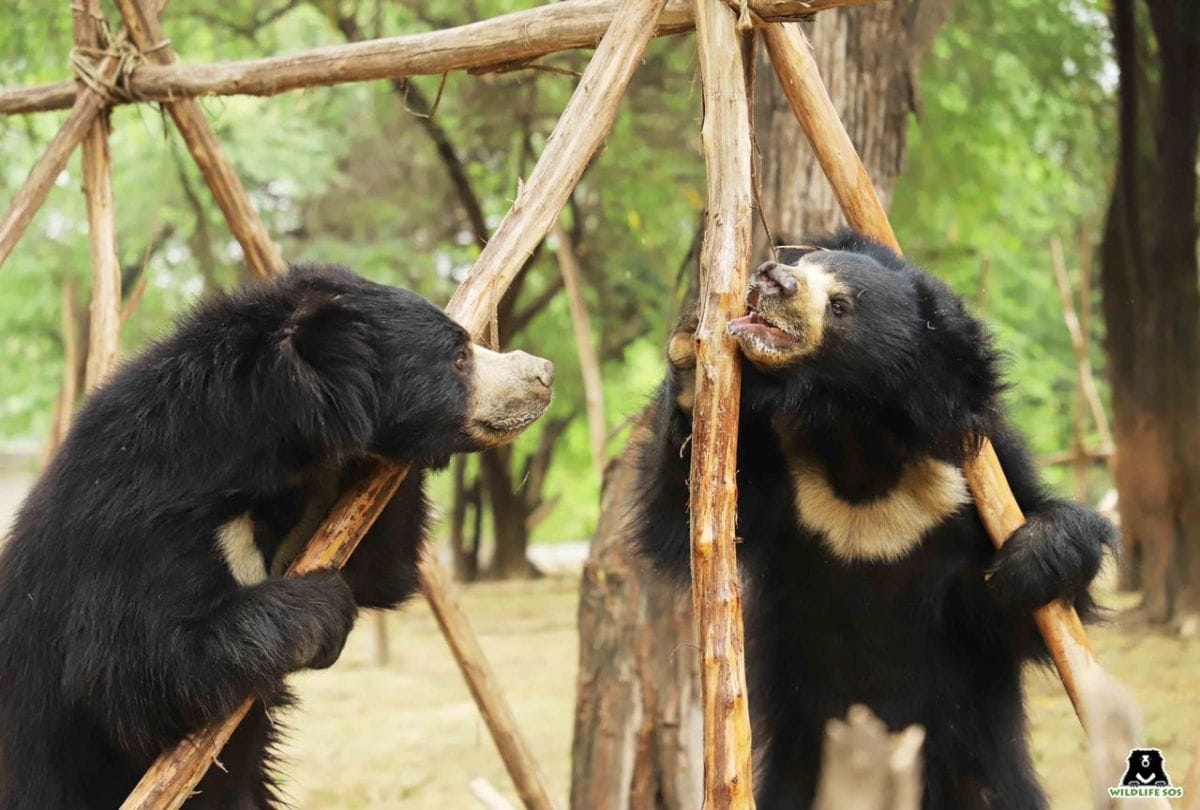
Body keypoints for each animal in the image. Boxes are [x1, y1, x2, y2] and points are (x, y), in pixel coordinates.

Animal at [0, 263, 554, 809]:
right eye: (458, 358)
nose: (544, 374)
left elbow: (376, 572)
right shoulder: (133, 523)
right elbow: (128, 678)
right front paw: (320, 606)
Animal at [635, 231, 1113, 809]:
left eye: (841, 307)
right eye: (808, 262)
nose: (771, 277)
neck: (855, 439)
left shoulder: (976, 476)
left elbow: (1017, 617)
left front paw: (1035, 558)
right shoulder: (776, 463)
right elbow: (682, 521)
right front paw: (688, 355)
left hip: (977, 777)